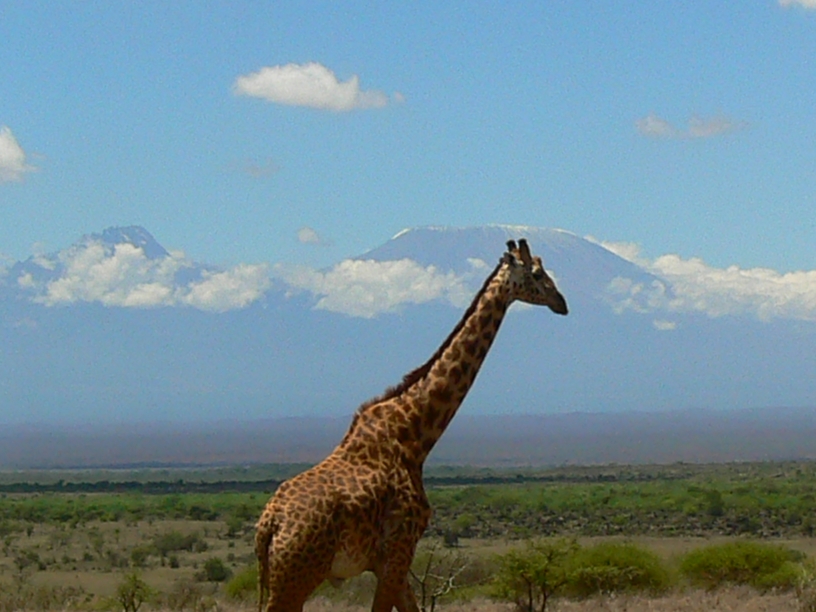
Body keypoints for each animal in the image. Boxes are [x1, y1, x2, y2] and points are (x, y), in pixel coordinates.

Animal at [255, 238, 568, 612]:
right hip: (296, 577)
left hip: (278, 578)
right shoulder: (399, 549)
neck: (415, 435)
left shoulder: (390, 561)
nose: (562, 303)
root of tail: (269, 525)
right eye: (536, 273)